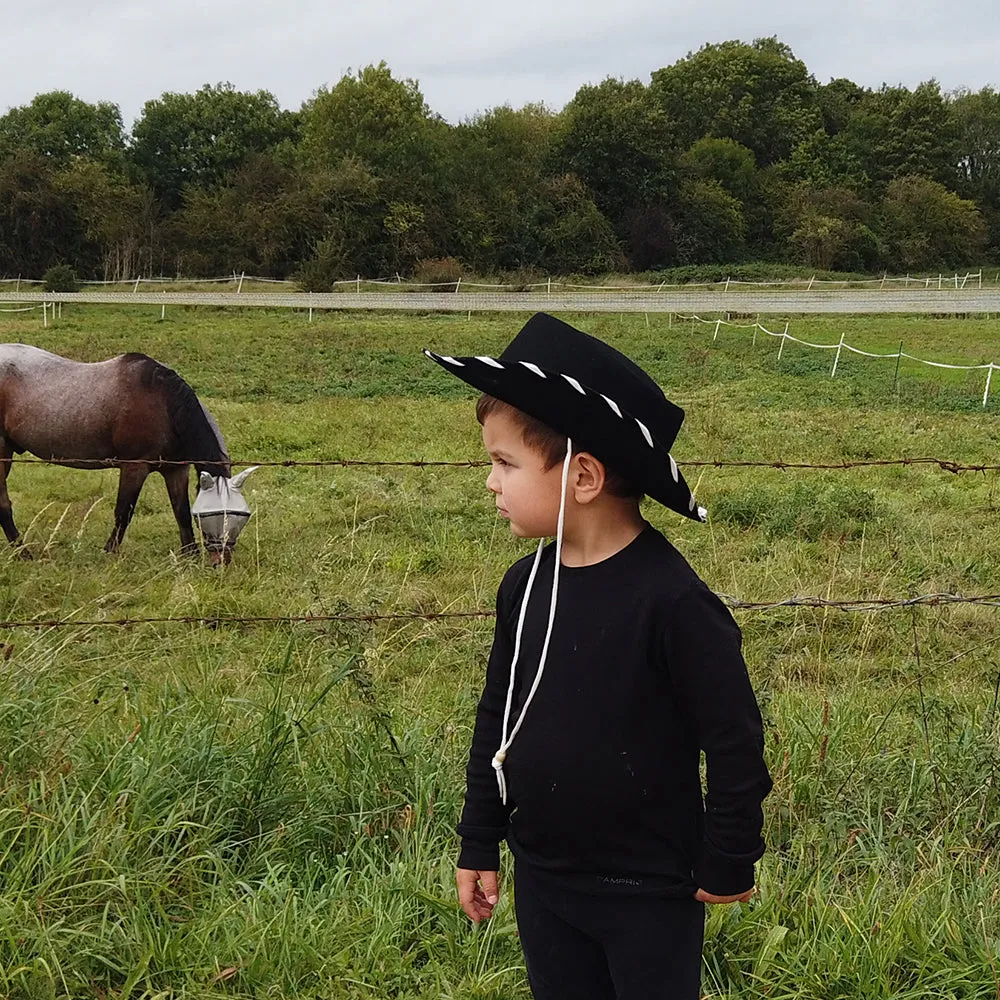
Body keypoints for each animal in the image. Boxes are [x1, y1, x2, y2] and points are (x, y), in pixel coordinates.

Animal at [0, 344, 258, 564]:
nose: (220, 562)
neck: (164, 403)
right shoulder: (135, 467)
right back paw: (23, 552)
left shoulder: (176, 469)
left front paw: (190, 557)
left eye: (241, 516)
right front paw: (109, 554)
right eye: (208, 515)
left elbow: (181, 513)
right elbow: (124, 513)